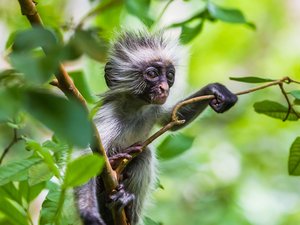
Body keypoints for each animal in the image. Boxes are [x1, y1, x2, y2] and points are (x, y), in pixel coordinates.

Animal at [74, 30, 237, 225]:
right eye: (152, 74)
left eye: (170, 76)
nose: (164, 88)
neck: (134, 109)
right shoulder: (108, 116)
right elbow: (85, 157)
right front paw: (88, 212)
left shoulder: (152, 108)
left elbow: (173, 118)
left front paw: (215, 90)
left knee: (143, 154)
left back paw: (126, 206)